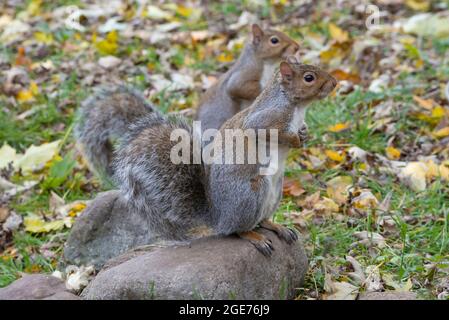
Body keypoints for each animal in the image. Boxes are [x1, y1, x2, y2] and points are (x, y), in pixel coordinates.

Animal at [112, 60, 336, 255]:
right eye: (309, 77)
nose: (334, 82)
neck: (296, 106)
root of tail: (218, 217)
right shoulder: (266, 118)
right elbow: (263, 131)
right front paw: (295, 139)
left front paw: (304, 134)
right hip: (252, 194)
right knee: (237, 230)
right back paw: (255, 237)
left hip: (276, 190)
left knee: (262, 221)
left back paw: (277, 227)